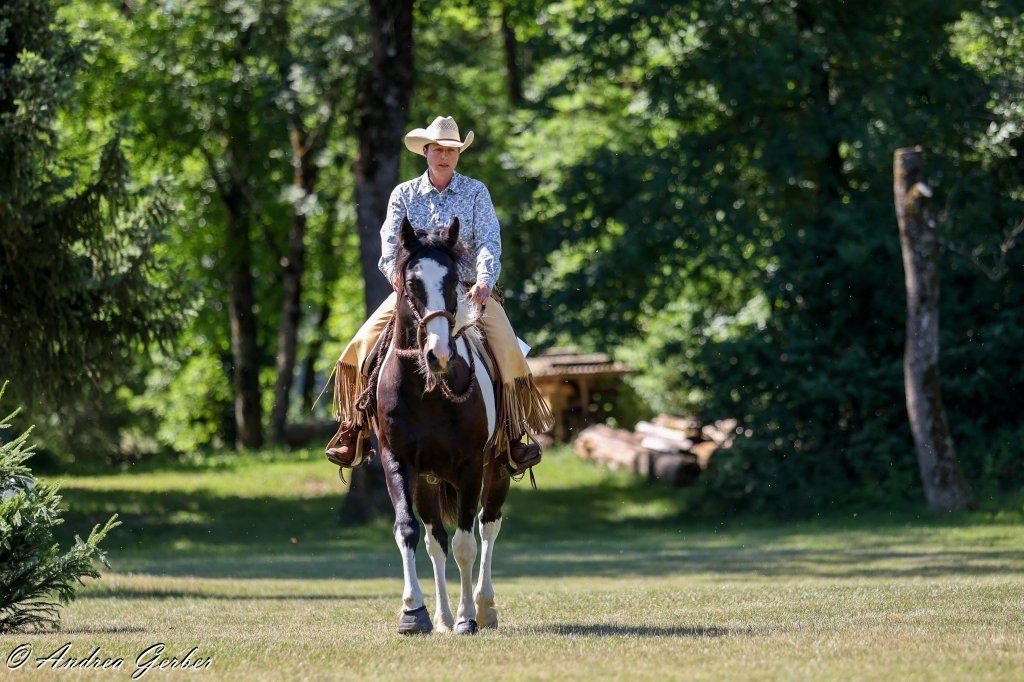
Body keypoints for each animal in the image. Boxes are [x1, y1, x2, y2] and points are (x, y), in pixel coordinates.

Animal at [370, 216, 510, 636]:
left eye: (452, 282)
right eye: (412, 283)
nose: (440, 354)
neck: (427, 392)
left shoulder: (470, 467)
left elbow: (466, 542)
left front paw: (467, 618)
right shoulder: (397, 462)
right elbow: (409, 531)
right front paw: (414, 613)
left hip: (497, 469)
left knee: (488, 525)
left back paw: (484, 607)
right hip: (429, 482)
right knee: (436, 540)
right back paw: (443, 617)